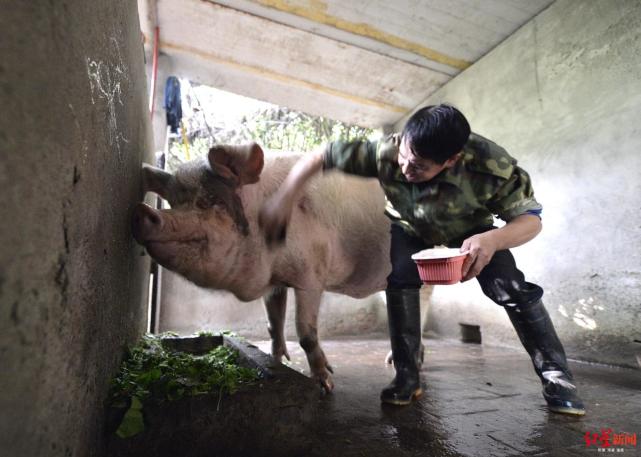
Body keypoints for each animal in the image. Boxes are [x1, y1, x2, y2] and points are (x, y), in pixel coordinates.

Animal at [134, 144, 390, 390]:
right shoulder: (276, 282)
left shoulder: (311, 275)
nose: (144, 210)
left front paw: (325, 384)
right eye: (174, 202)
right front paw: (276, 361)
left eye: (208, 201)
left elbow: (305, 334)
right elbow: (273, 324)